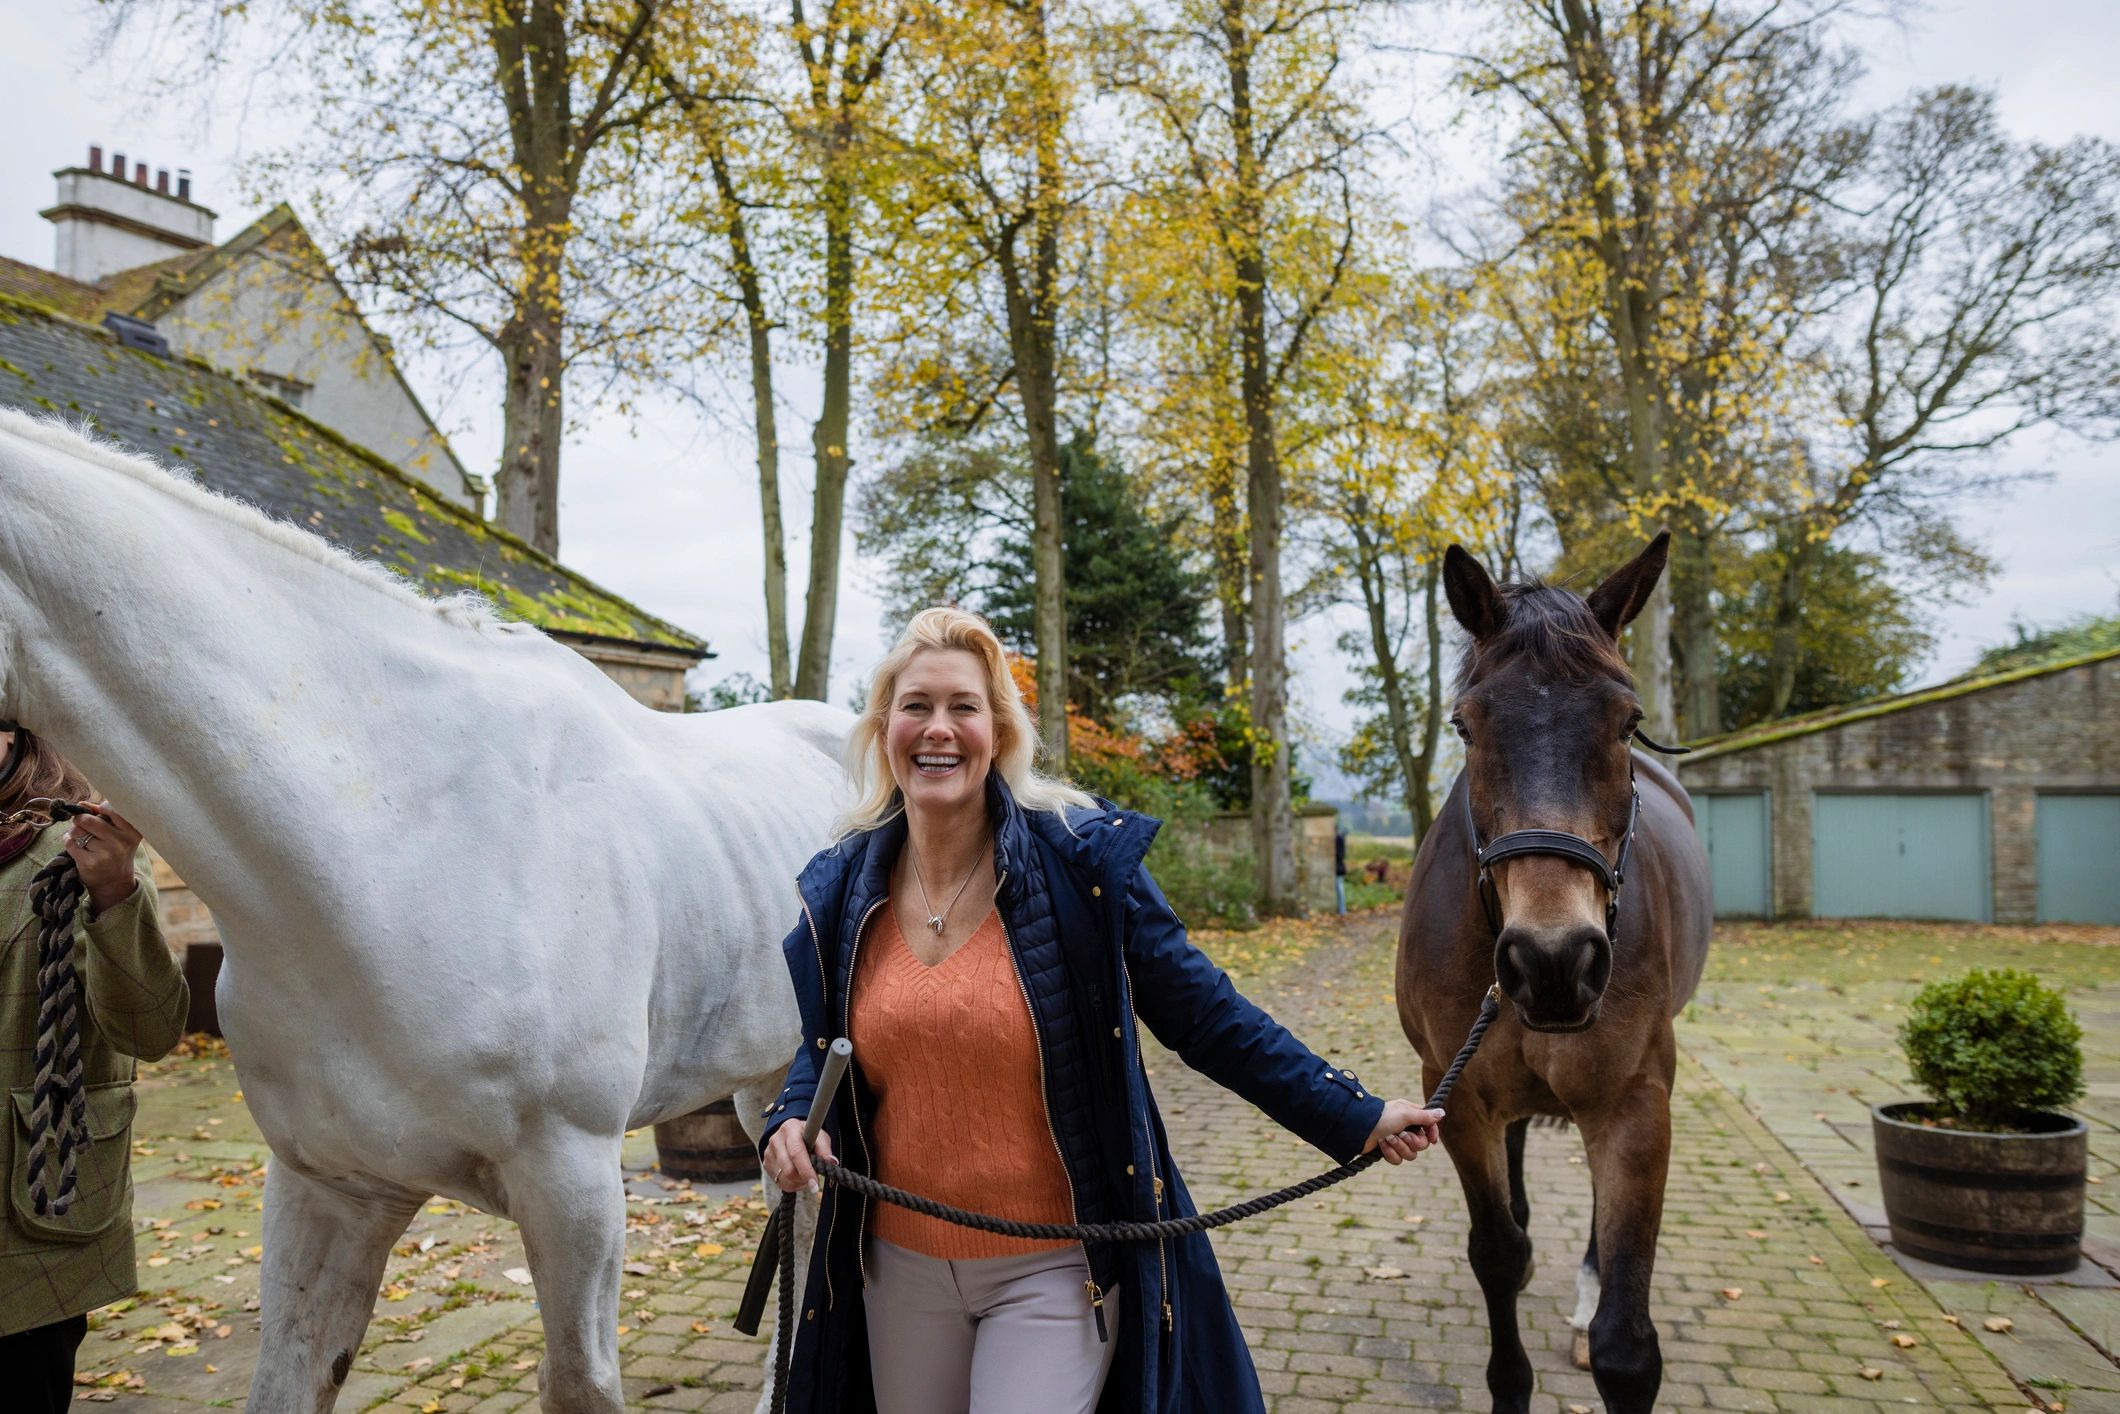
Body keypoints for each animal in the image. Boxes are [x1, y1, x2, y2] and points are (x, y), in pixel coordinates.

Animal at [1395, 533, 1712, 1414]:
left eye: (1628, 720)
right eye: (1466, 726)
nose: (1553, 961)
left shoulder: (1635, 1101)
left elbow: (1626, 1347)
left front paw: (1598, 1307)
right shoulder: (1455, 1094)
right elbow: (1497, 1254)